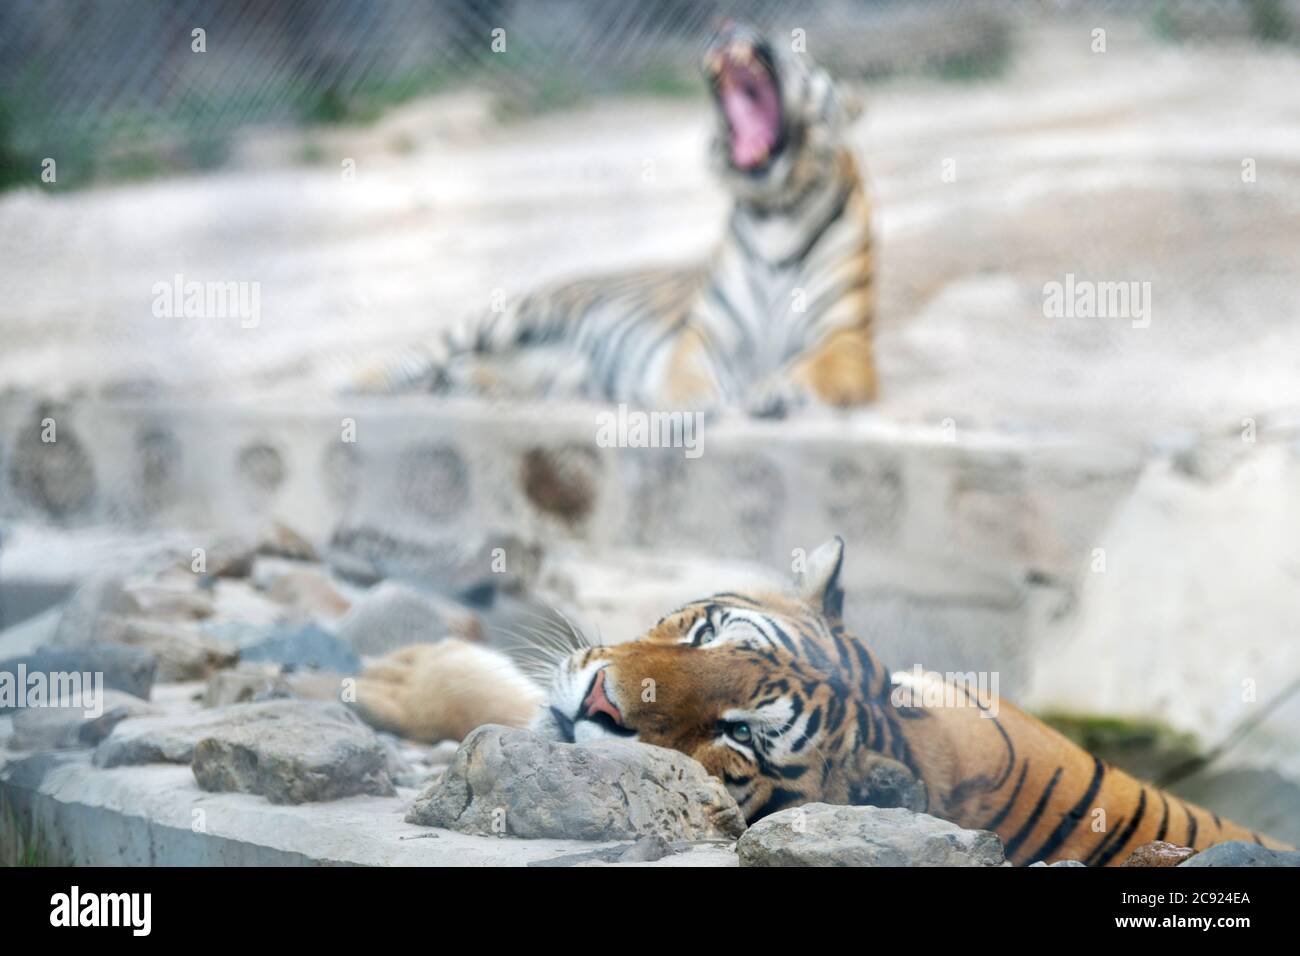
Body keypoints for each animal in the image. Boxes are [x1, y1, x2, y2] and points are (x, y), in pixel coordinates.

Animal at [351, 22, 878, 416]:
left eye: (793, 46)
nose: (729, 26)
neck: (774, 210)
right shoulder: (703, 335)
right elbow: (686, 369)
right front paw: (689, 401)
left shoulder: (848, 341)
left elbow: (816, 367)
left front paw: (777, 388)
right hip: (506, 316)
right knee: (422, 349)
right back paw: (359, 381)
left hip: (551, 372)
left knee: (477, 369)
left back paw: (464, 383)